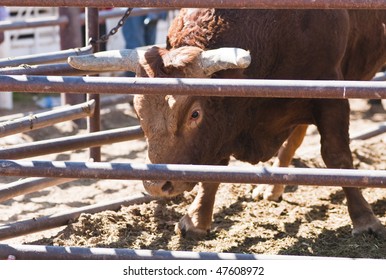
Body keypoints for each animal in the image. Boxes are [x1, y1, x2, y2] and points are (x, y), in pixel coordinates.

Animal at [68, 9, 386, 240]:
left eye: (195, 114)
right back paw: (273, 188)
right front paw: (197, 218)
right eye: (138, 110)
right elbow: (214, 168)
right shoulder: (223, 125)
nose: (157, 186)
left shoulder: (330, 95)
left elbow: (337, 157)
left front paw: (365, 219)